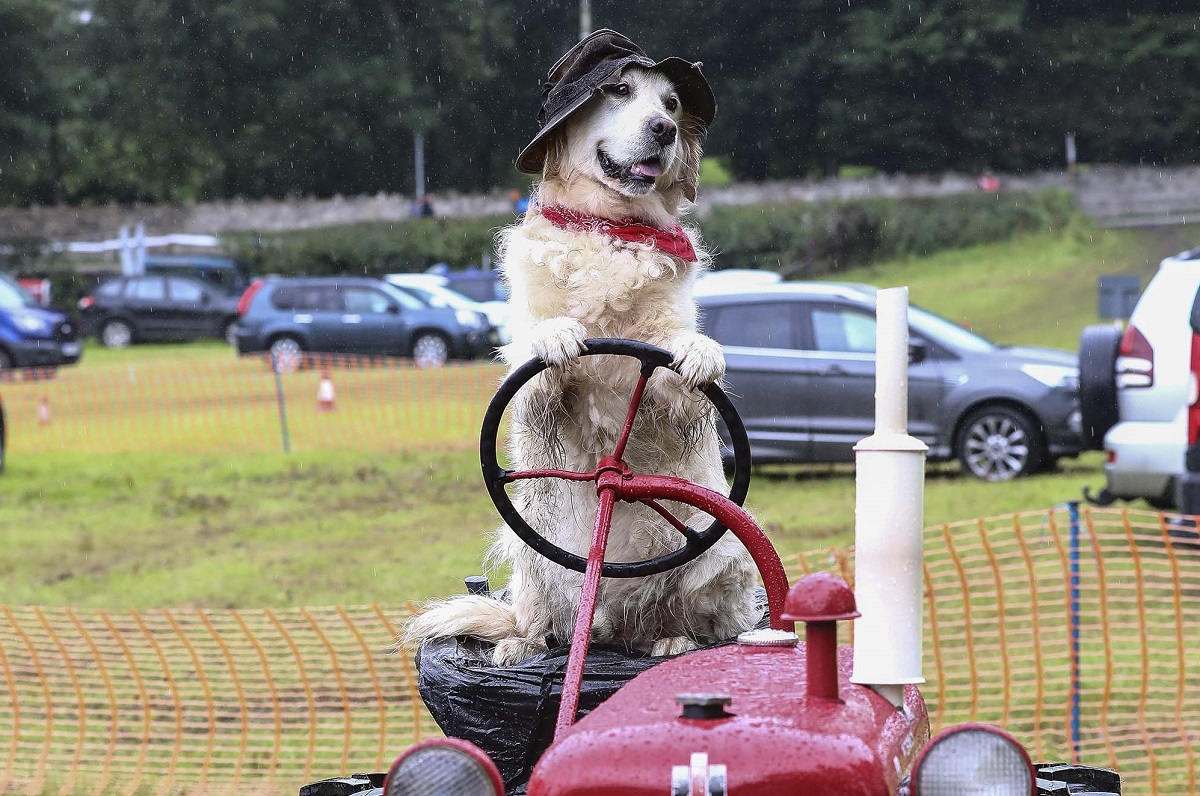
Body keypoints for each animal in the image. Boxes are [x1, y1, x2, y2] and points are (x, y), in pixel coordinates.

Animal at [403, 31, 758, 667]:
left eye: (671, 102)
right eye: (618, 90)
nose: (664, 129)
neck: (610, 229)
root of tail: (612, 624)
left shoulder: (668, 386)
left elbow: (677, 358)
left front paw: (701, 351)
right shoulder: (531, 384)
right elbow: (541, 348)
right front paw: (559, 335)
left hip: (718, 554)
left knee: (696, 619)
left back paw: (672, 639)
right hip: (532, 550)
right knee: (542, 619)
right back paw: (523, 643)